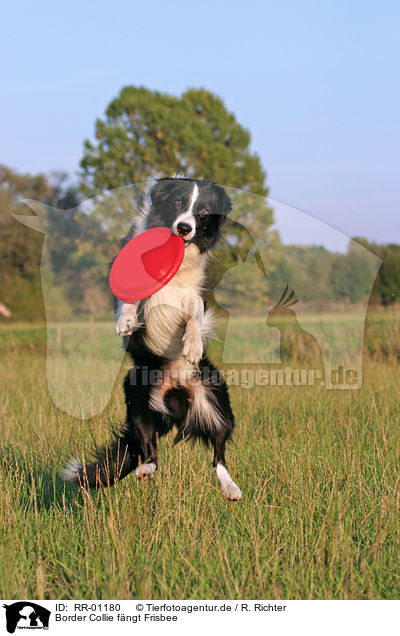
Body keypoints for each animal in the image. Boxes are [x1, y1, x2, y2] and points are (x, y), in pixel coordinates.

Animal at [64, 176, 242, 500]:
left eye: (204, 211)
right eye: (178, 203)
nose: (184, 228)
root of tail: (176, 394)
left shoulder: (196, 294)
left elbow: (195, 315)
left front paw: (192, 345)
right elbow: (128, 299)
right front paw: (126, 321)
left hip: (216, 398)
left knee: (219, 453)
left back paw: (231, 488)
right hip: (137, 392)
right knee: (150, 450)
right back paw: (145, 469)